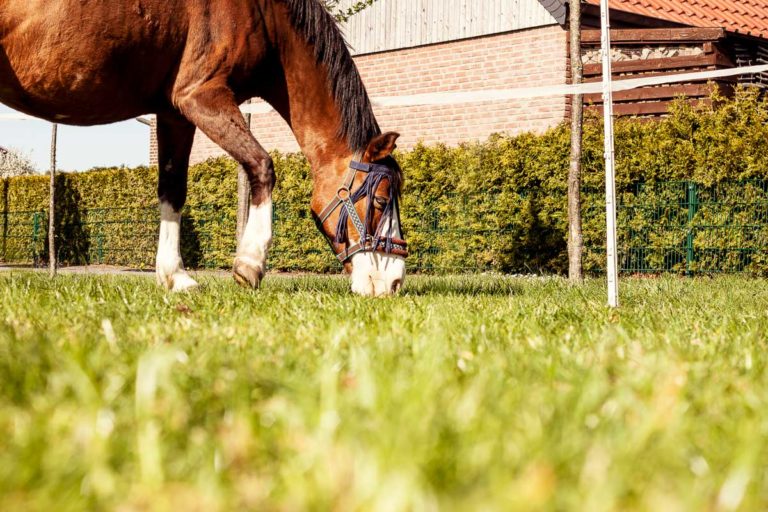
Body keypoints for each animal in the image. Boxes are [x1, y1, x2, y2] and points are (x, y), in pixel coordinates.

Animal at [0, 0, 407, 297]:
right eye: (381, 199)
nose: (394, 282)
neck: (265, 15)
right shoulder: (201, 95)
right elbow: (262, 164)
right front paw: (249, 264)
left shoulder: (174, 113)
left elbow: (172, 191)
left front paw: (174, 275)